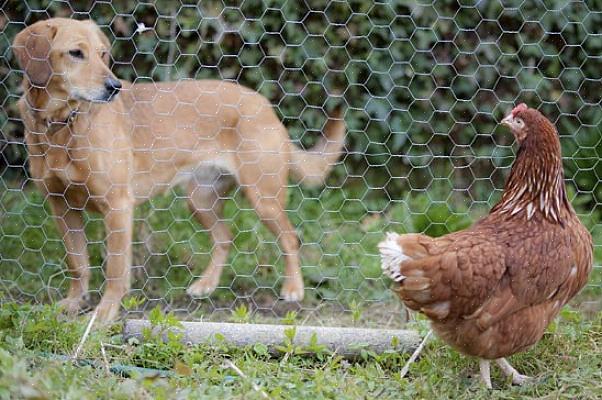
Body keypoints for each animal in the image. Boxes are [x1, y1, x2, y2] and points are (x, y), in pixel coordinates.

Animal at [11, 18, 344, 324]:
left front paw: (104, 314)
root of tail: (265, 105)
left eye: (103, 54)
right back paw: (206, 285)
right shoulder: (62, 207)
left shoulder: (118, 207)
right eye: (75, 53)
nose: (114, 87)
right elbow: (77, 263)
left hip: (264, 199)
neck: (61, 125)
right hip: (200, 201)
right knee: (225, 237)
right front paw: (73, 303)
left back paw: (293, 288)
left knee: (290, 238)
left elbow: (115, 270)